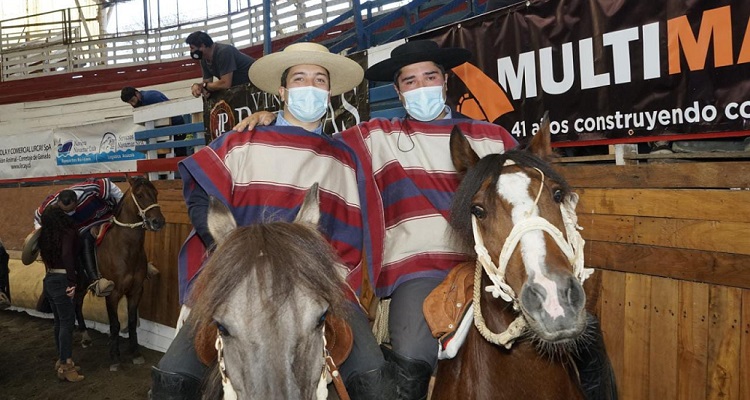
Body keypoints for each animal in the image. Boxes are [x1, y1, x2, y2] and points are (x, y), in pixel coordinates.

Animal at [72, 177, 165, 370]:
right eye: (139, 195)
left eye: (156, 193)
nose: (158, 222)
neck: (126, 249)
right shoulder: (113, 294)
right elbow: (115, 324)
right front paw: (115, 357)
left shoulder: (136, 291)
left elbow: (131, 321)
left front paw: (135, 353)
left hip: (83, 284)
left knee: (77, 303)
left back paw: (85, 335)